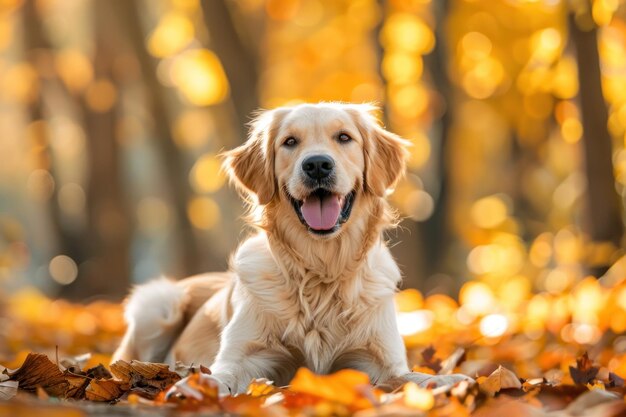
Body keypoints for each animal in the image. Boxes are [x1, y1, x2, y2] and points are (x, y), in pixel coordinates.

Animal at [111, 101, 468, 394]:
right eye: (290, 142)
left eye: (344, 137)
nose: (318, 165)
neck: (322, 271)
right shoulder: (248, 355)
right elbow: (225, 373)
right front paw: (201, 385)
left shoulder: (377, 360)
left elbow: (410, 377)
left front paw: (448, 380)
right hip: (157, 303)